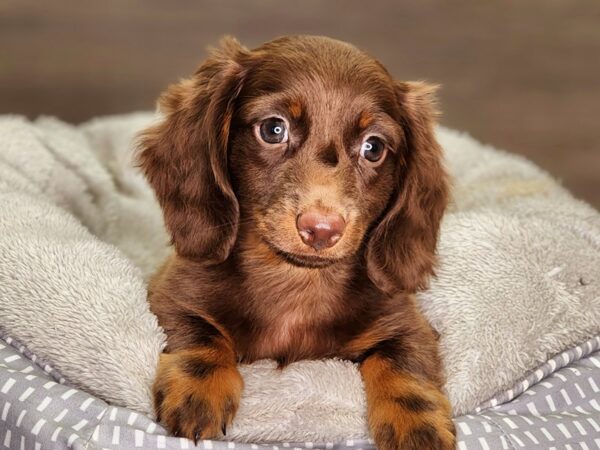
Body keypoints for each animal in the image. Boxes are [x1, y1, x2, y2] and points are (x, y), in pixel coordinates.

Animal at [137, 36, 454, 450]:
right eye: (274, 129)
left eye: (373, 147)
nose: (322, 229)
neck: (295, 282)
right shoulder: (171, 293)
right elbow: (199, 332)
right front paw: (198, 390)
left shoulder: (407, 323)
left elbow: (404, 362)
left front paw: (418, 426)